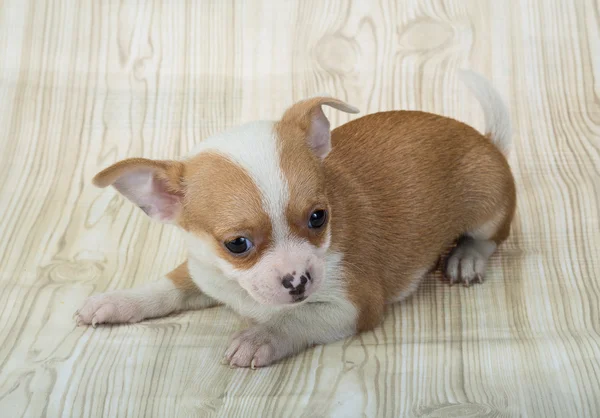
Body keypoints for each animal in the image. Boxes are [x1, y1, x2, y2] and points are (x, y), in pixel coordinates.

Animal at [75, 70, 516, 368]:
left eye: (319, 218)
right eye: (237, 245)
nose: (298, 280)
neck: (241, 292)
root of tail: (486, 141)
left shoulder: (352, 305)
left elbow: (297, 319)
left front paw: (262, 336)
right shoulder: (203, 271)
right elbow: (168, 286)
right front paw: (118, 301)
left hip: (487, 203)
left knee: (491, 236)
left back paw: (466, 257)